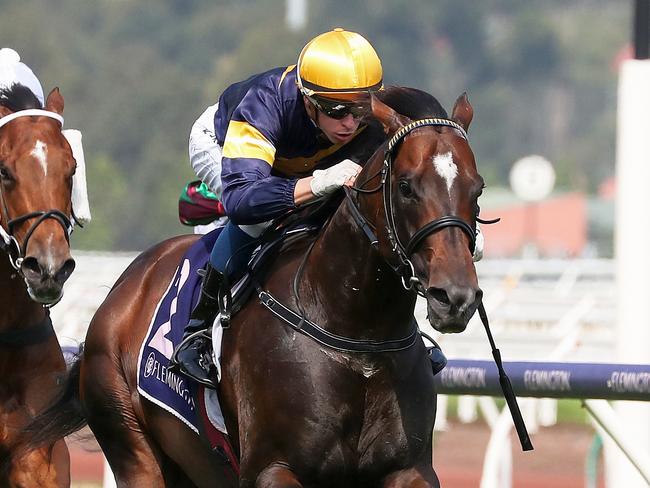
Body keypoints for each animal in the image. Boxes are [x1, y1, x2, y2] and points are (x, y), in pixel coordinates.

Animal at [17, 86, 484, 486]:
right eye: (406, 186)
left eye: (476, 189)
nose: (455, 297)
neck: (356, 333)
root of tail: (126, 288)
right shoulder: (272, 469)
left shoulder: (409, 469)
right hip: (133, 445)